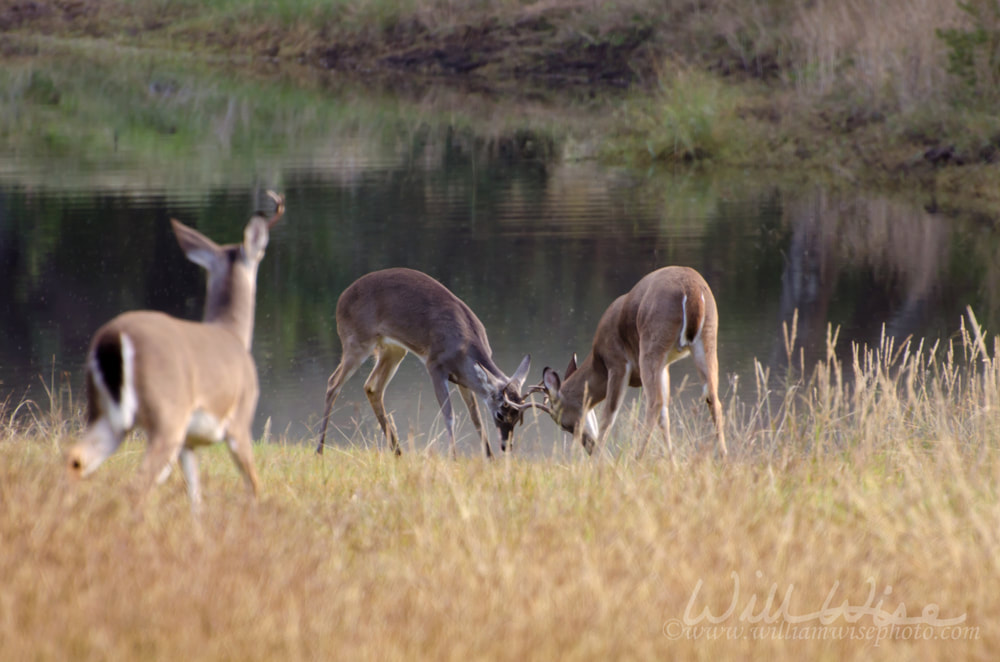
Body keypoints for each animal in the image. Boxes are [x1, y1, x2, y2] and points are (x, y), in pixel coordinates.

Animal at [65, 192, 286, 508]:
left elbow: (195, 497)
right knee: (137, 484)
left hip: (103, 411)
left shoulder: (188, 442)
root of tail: (113, 337)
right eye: (261, 253)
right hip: (166, 415)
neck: (232, 333)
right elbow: (253, 484)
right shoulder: (239, 420)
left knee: (77, 459)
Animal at [318, 268, 540, 460]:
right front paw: (454, 458)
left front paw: (490, 458)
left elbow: (475, 416)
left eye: (519, 417)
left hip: (393, 349)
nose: (506, 446)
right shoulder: (434, 365)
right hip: (357, 342)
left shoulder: (463, 378)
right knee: (333, 383)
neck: (463, 345)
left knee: (372, 387)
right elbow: (449, 415)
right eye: (501, 414)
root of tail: (341, 299)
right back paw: (319, 449)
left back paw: (397, 451)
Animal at [532, 264, 728, 462]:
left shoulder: (617, 363)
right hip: (706, 340)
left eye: (562, 422)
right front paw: (673, 462)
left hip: (651, 347)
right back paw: (724, 458)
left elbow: (609, 413)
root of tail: (692, 290)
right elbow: (664, 416)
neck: (598, 362)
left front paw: (597, 461)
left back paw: (637, 458)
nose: (589, 446)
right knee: (712, 399)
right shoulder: (664, 368)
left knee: (655, 402)